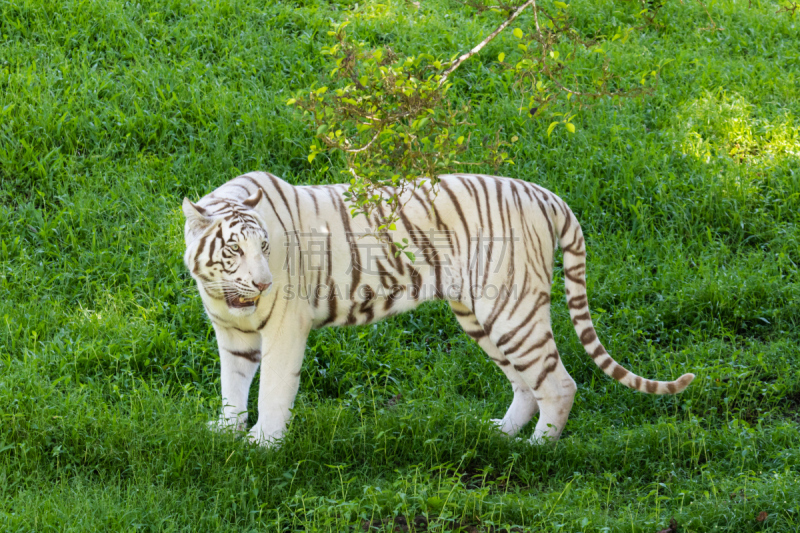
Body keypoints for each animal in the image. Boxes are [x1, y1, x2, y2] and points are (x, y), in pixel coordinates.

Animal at [181, 171, 692, 444]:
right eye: (235, 249)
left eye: (265, 247)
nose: (264, 282)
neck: (222, 292)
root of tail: (545, 194)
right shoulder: (231, 334)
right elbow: (232, 384)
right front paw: (225, 432)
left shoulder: (287, 328)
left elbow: (271, 390)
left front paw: (263, 445)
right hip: (481, 314)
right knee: (525, 383)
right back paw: (502, 433)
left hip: (512, 311)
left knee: (559, 383)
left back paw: (539, 449)